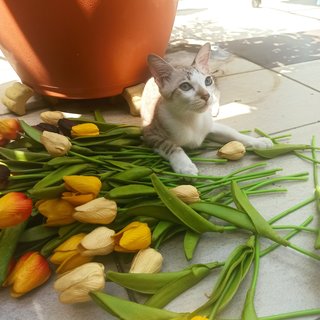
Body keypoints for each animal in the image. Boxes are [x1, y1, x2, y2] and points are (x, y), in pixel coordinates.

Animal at [140, 42, 272, 175]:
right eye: (185, 86)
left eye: (207, 81)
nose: (206, 95)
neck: (192, 118)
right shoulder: (149, 133)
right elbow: (170, 146)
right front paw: (185, 165)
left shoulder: (211, 125)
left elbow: (232, 133)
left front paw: (258, 141)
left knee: (217, 92)